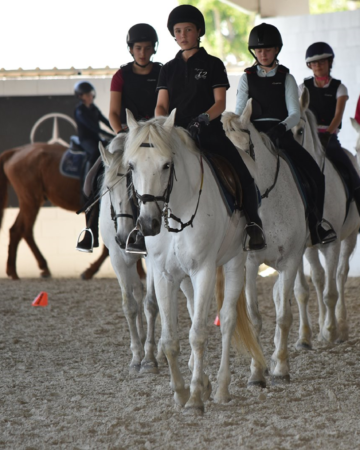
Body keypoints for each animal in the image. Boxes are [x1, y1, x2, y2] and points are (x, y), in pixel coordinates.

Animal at [0, 142, 109, 280]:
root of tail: (17, 151)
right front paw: (89, 271)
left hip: (30, 201)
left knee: (17, 230)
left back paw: (16, 270)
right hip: (30, 200)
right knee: (23, 230)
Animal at [117, 110, 264, 414]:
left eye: (166, 165)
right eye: (132, 166)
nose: (148, 224)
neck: (178, 212)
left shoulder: (203, 271)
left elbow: (197, 334)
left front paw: (195, 397)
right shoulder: (165, 276)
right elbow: (170, 339)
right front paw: (182, 392)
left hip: (235, 262)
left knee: (227, 320)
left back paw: (220, 388)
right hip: (185, 280)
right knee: (195, 309)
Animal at [222, 100, 310, 384]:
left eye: (245, 150)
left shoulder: (291, 260)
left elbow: (283, 315)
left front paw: (281, 368)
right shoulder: (251, 263)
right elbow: (255, 317)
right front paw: (257, 371)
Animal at [292, 90, 360, 344]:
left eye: (300, 131)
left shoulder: (333, 243)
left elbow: (331, 291)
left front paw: (331, 330)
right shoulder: (303, 246)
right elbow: (304, 290)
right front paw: (305, 335)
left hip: (350, 237)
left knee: (339, 276)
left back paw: (341, 326)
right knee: (320, 277)